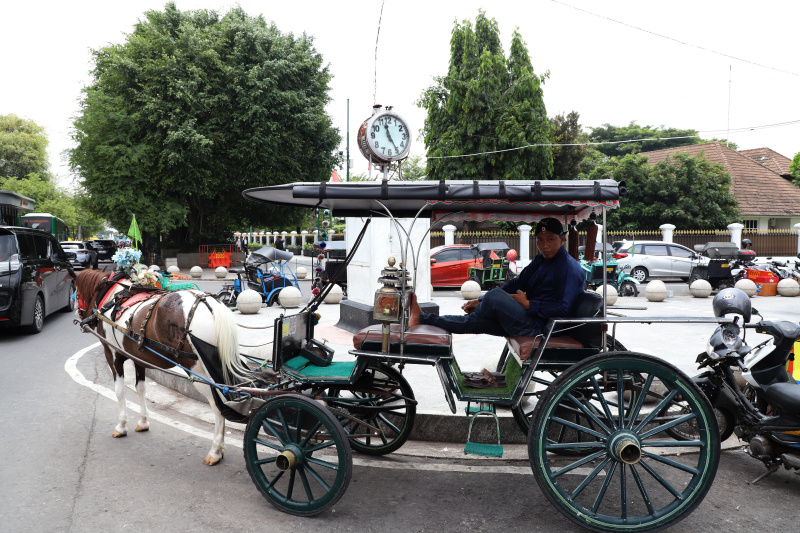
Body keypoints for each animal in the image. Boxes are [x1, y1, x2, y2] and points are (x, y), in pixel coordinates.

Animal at [75, 268, 252, 464]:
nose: (79, 315)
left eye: (76, 293)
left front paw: (121, 426)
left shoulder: (113, 355)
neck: (113, 297)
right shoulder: (138, 358)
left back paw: (215, 451)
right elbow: (141, 388)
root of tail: (208, 303)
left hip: (200, 371)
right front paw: (143, 422)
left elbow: (120, 391)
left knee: (218, 405)